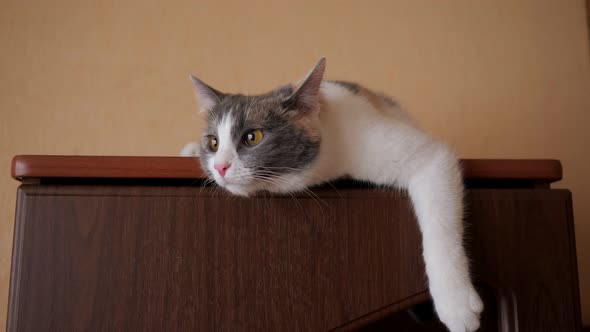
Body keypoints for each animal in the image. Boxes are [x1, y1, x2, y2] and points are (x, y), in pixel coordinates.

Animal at [182, 58, 486, 330]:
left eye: (252, 137)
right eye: (213, 142)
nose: (220, 167)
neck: (330, 157)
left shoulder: (424, 156)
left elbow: (440, 226)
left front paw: (455, 303)